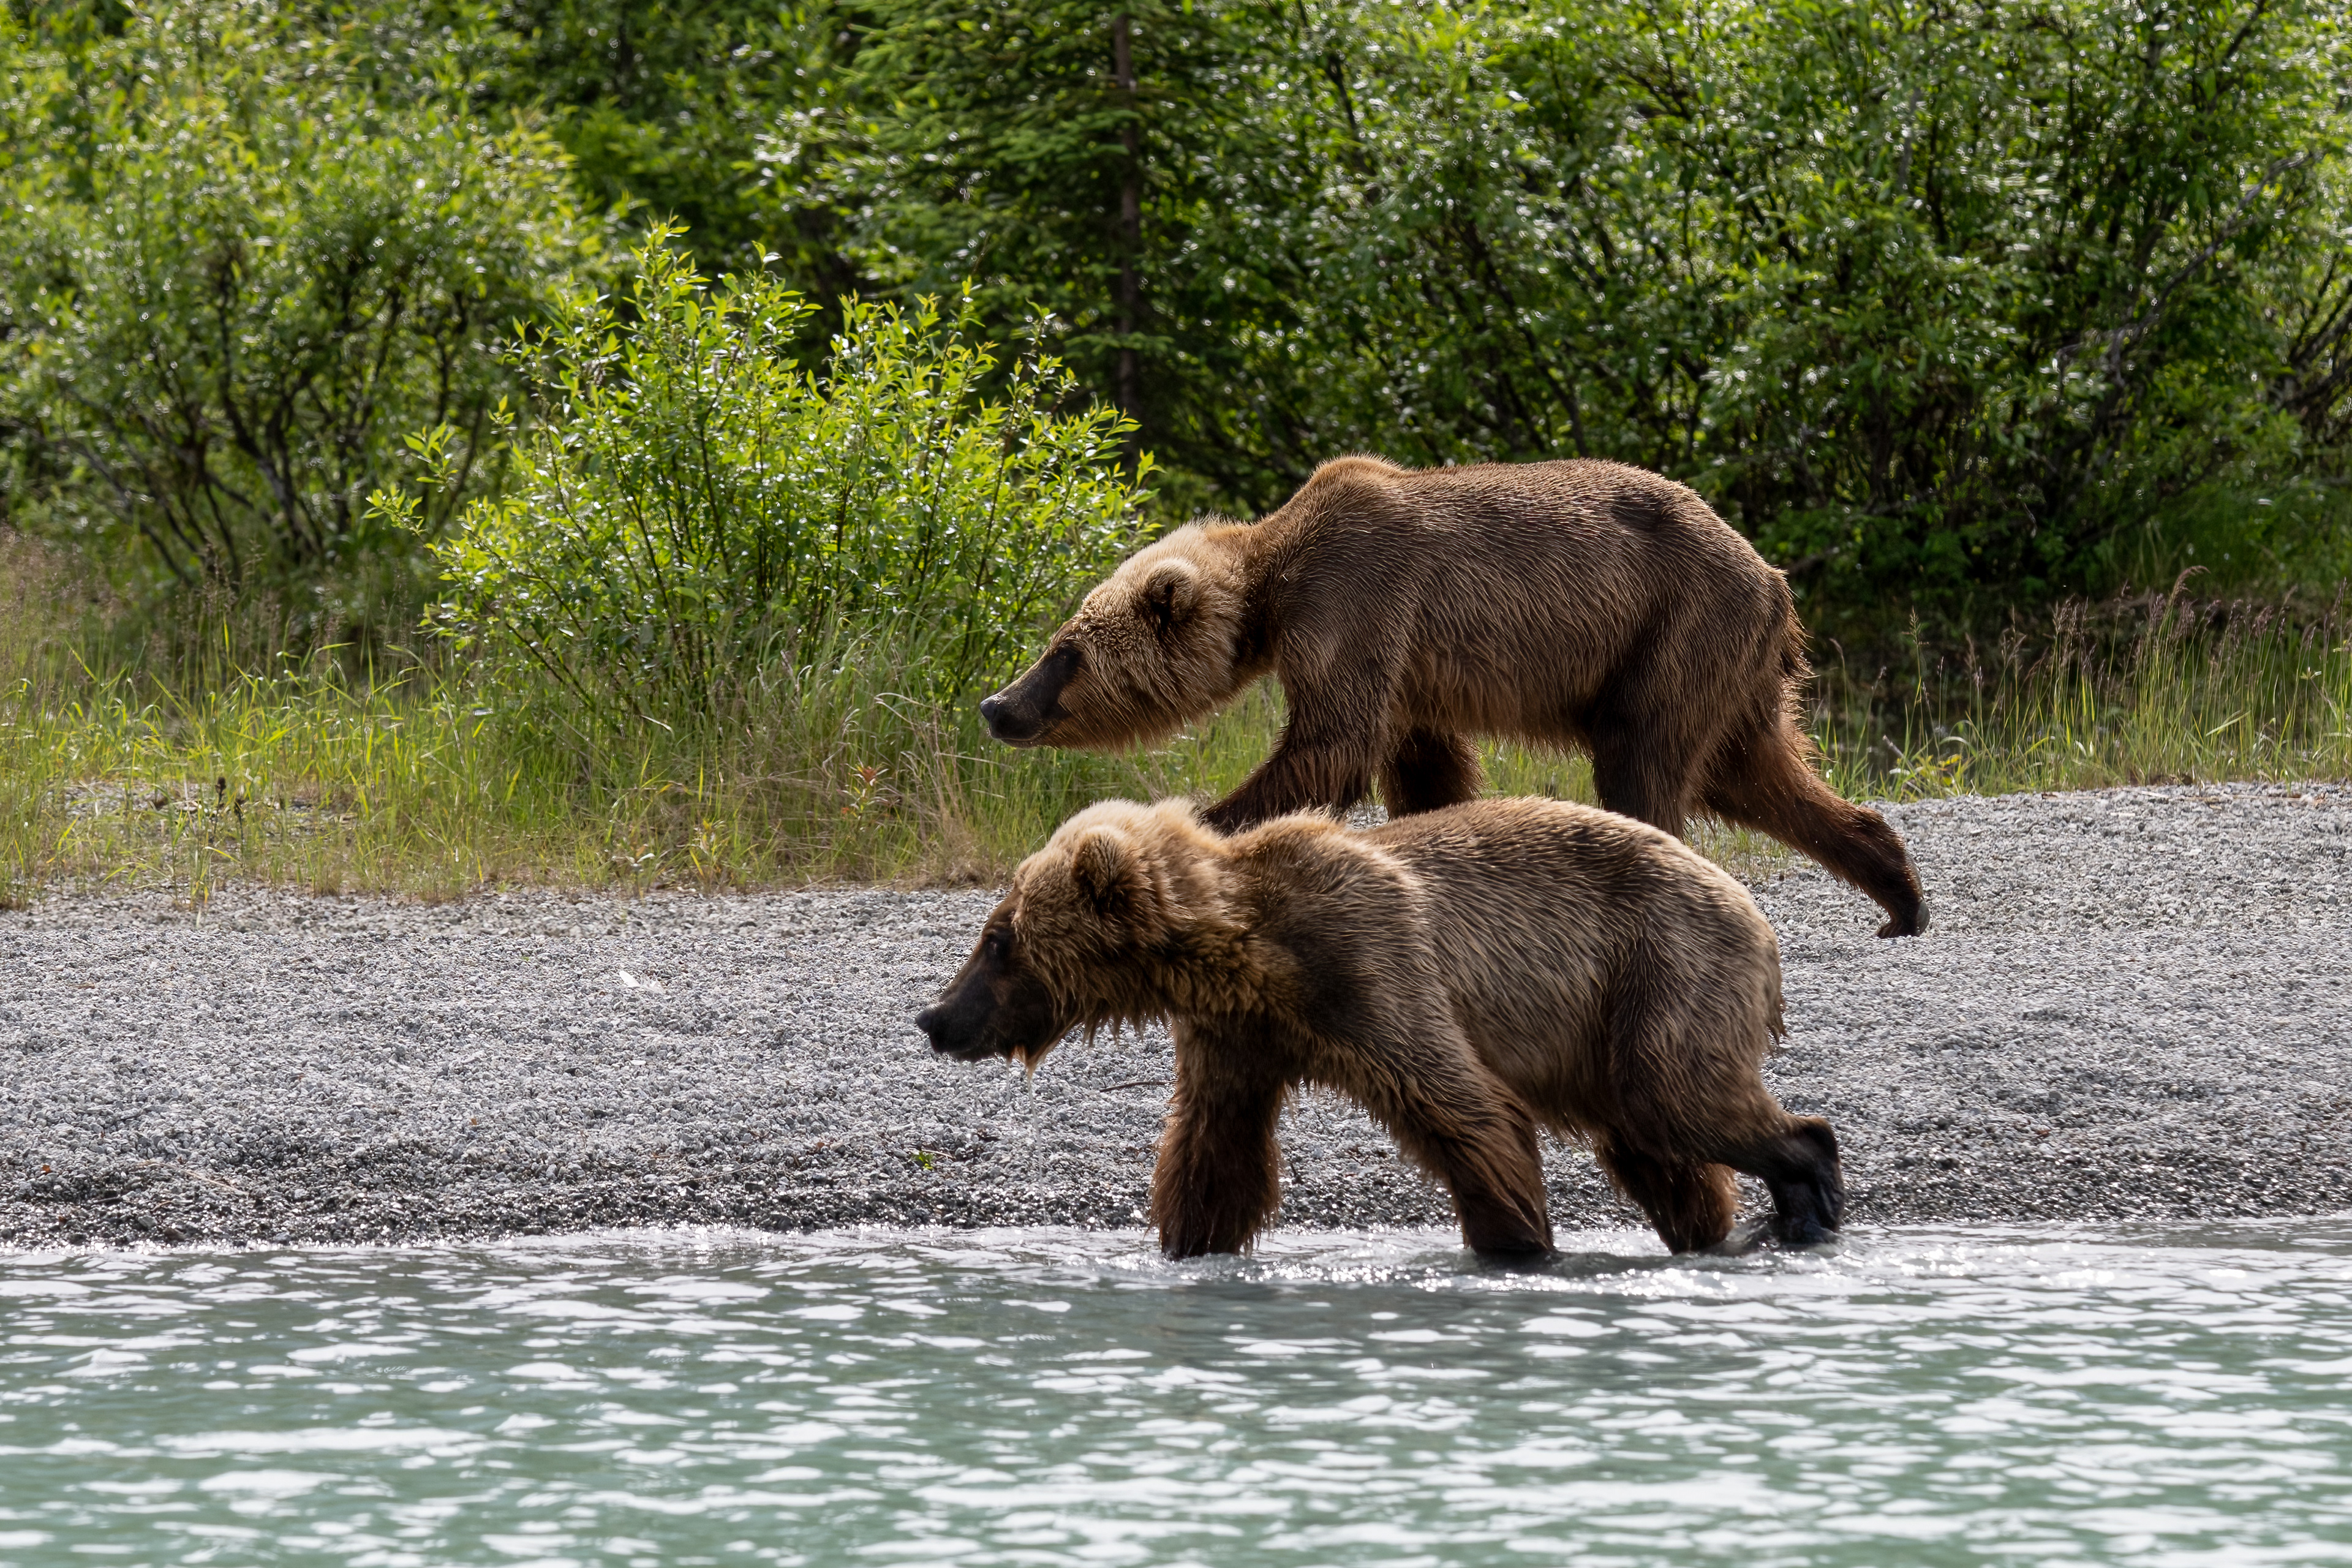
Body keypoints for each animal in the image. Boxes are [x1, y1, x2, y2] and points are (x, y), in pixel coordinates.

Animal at [913, 794, 1845, 1259]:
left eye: (998, 939)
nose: (934, 1017)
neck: (1248, 951)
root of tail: (1752, 907)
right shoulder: (1237, 1033)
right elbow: (1214, 1150)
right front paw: (1187, 1245)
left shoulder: (1370, 965)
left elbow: (1468, 1111)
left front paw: (1518, 1247)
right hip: (1613, 1013)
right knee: (1654, 1142)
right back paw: (1718, 1230)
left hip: (1664, 960)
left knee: (1676, 1097)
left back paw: (1807, 1190)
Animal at [979, 455, 1926, 937]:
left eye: (1064, 651)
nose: (997, 704)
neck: (1275, 589)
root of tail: (1772, 577)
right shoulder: (1409, 667)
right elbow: (1421, 763)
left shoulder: (1359, 600)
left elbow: (1329, 745)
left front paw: (1203, 820)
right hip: (1720, 663)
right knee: (1754, 773)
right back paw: (1898, 894)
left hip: (1675, 627)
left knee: (1643, 761)